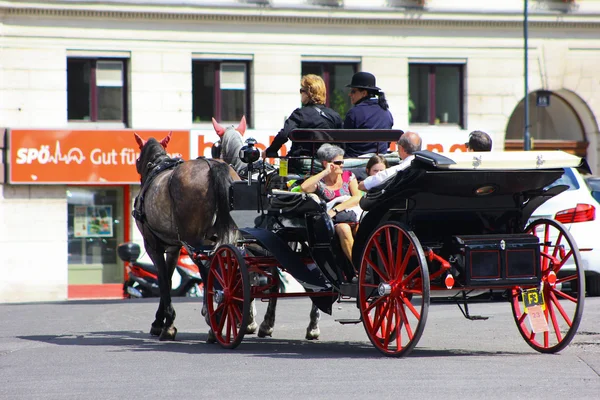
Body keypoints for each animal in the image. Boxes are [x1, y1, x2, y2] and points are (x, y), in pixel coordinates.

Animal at [135, 132, 238, 340]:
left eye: (137, 160)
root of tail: (213, 165)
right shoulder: (174, 248)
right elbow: (168, 277)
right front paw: (162, 320)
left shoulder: (152, 245)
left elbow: (163, 280)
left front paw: (166, 325)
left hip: (194, 241)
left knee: (207, 271)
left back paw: (213, 320)